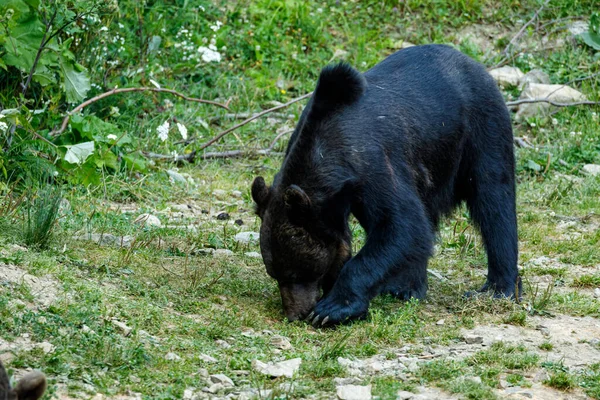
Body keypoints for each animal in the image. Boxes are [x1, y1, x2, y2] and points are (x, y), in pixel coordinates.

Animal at [251, 43, 516, 326]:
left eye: (295, 272)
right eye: (274, 272)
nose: (295, 313)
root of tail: (472, 62)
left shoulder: (374, 165)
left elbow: (403, 226)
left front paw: (331, 308)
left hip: (481, 130)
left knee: (494, 202)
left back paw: (498, 288)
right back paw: (407, 286)